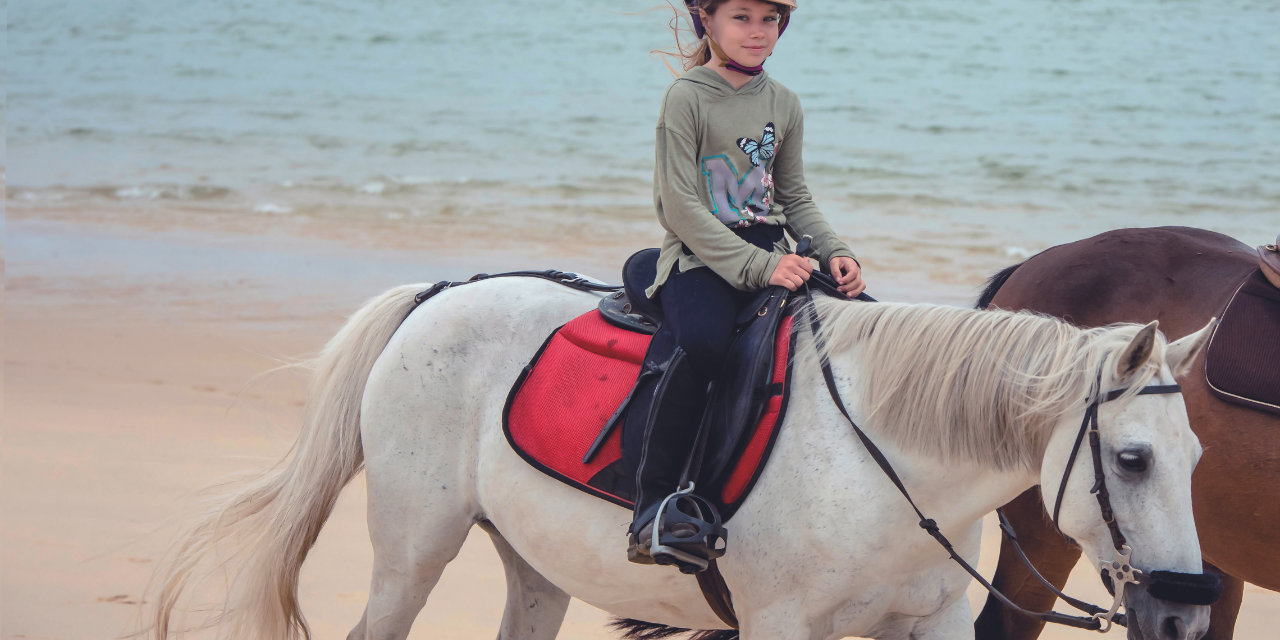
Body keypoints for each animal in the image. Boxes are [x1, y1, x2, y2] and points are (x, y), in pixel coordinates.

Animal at [147, 279, 1208, 640]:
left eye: (1197, 460)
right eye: (1132, 458)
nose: (1185, 613)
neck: (890, 470)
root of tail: (439, 293)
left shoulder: (933, 627)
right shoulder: (781, 629)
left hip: (532, 568)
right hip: (414, 552)